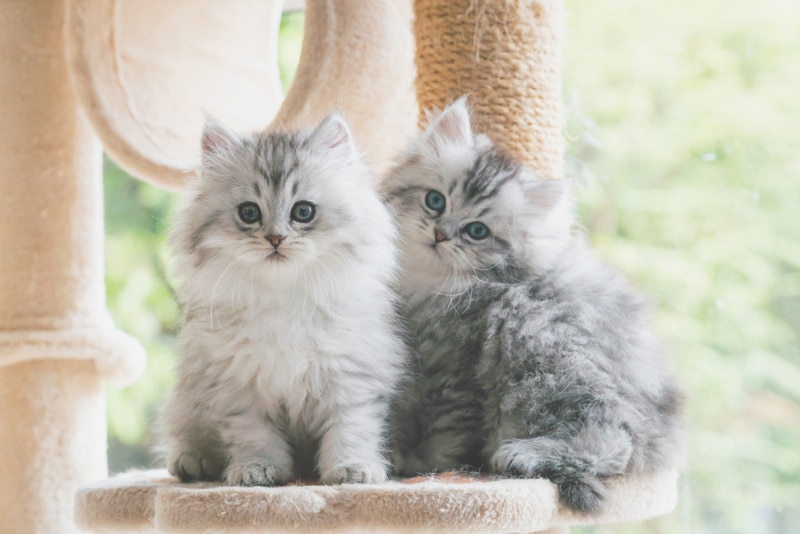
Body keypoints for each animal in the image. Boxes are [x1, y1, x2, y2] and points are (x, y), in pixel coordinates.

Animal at [158, 114, 406, 490]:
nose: (275, 239)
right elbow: (255, 436)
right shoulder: (238, 387)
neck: (284, 296)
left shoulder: (350, 379)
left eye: (303, 212)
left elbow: (349, 430)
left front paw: (351, 470)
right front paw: (257, 471)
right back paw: (192, 463)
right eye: (249, 213)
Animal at [384, 99, 684, 516]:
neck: (431, 283)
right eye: (435, 201)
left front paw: (419, 468)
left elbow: (445, 438)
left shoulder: (455, 373)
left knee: (613, 441)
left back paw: (521, 455)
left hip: (540, 345)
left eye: (476, 231)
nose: (441, 234)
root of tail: (662, 429)